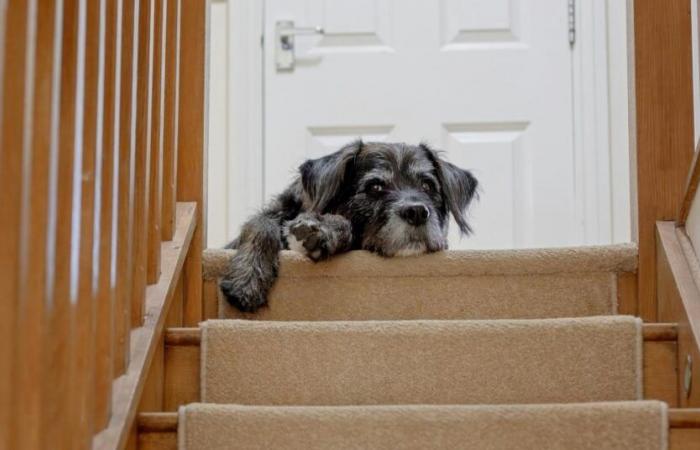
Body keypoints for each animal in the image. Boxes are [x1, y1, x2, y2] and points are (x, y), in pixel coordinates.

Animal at [221, 139, 478, 312]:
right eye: (375, 187)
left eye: (427, 186)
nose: (416, 212)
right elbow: (260, 224)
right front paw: (247, 279)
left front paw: (324, 229)